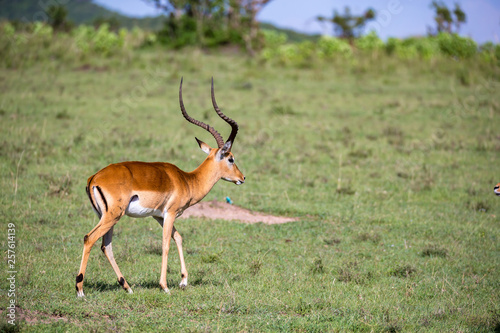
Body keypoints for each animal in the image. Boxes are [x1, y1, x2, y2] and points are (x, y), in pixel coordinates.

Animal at [75, 78, 245, 296]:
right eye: (231, 158)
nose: (242, 178)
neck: (187, 180)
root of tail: (94, 178)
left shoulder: (158, 215)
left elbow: (178, 238)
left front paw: (183, 281)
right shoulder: (170, 213)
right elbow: (165, 245)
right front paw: (165, 286)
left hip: (106, 217)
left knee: (106, 246)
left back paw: (127, 287)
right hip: (113, 215)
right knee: (89, 238)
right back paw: (80, 289)